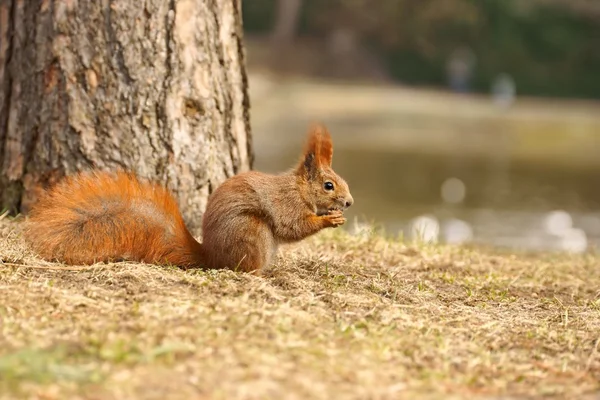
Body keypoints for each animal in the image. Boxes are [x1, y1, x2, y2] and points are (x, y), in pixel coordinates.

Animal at [23, 123, 352, 274]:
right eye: (328, 185)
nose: (349, 202)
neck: (299, 189)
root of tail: (211, 258)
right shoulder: (286, 203)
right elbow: (292, 227)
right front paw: (329, 219)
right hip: (252, 232)